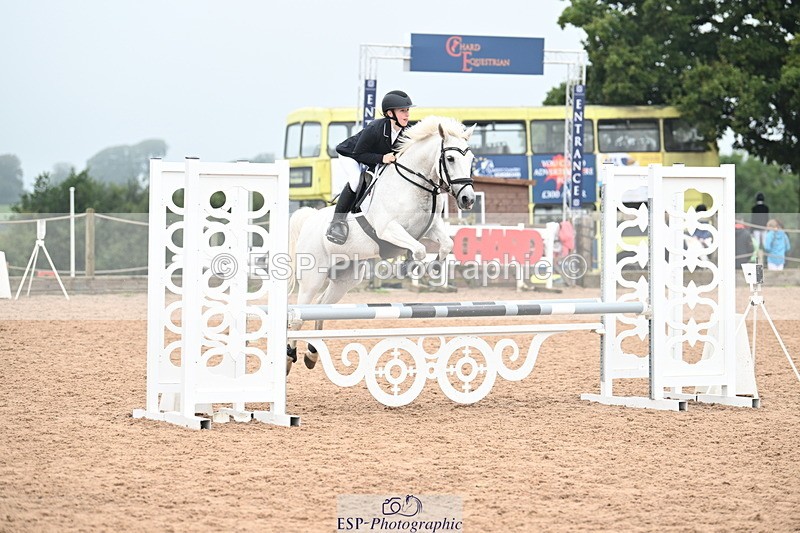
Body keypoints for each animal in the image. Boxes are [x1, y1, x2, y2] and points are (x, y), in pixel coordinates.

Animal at [285, 115, 477, 372]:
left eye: (471, 159)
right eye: (450, 158)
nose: (468, 199)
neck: (414, 185)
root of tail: (309, 219)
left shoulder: (429, 228)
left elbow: (444, 245)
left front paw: (434, 267)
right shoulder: (389, 229)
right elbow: (418, 250)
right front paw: (407, 268)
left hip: (346, 279)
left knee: (322, 307)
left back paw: (312, 354)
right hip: (312, 277)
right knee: (300, 315)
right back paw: (289, 356)